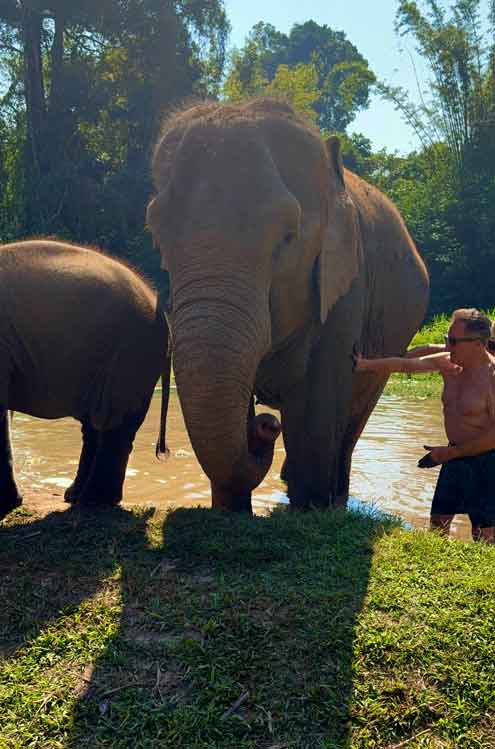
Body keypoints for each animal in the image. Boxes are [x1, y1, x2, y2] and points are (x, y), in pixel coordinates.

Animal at [146, 98, 429, 513]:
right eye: (156, 233)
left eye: (288, 237)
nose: (265, 426)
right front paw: (232, 512)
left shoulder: (346, 289)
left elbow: (315, 410)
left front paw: (310, 507)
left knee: (352, 420)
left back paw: (333, 498)